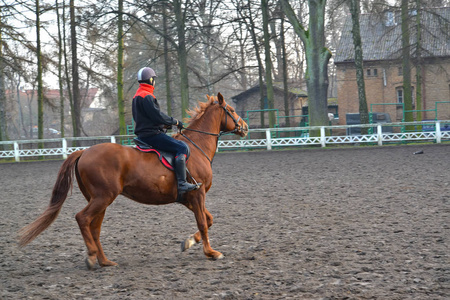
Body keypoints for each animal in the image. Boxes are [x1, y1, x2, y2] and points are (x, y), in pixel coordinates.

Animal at [17, 92, 250, 270]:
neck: (196, 145)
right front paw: (211, 252)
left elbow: (208, 220)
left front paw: (189, 242)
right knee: (82, 218)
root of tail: (84, 152)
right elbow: (203, 223)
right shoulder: (197, 194)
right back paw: (92, 256)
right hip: (103, 197)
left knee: (94, 228)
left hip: (99, 200)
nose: (245, 127)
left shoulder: (189, 198)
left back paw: (105, 261)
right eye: (231, 109)